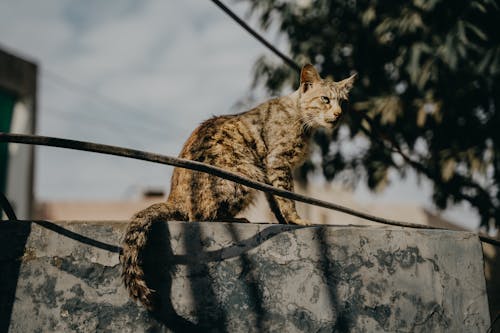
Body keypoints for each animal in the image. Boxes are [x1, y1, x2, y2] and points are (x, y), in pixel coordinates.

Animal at [120, 63, 356, 308]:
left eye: (344, 102)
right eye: (325, 99)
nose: (339, 114)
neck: (301, 118)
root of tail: (174, 198)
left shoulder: (268, 172)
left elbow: (274, 201)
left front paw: (283, 220)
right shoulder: (277, 162)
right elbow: (286, 197)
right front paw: (296, 219)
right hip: (244, 174)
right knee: (199, 217)